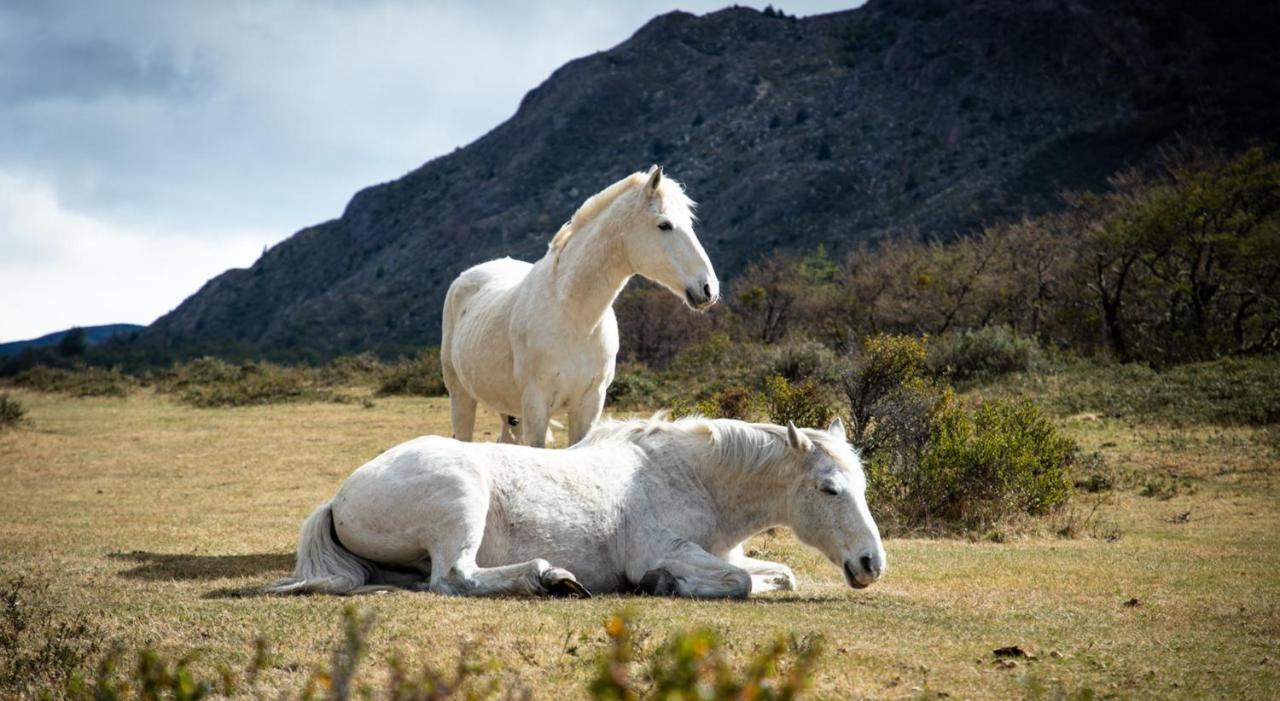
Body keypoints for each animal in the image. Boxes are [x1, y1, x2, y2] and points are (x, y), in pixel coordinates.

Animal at [264, 414, 885, 598]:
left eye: (861, 486)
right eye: (830, 489)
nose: (871, 564)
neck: (691, 478)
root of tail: (337, 498)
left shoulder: (727, 551)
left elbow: (779, 574)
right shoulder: (665, 550)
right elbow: (737, 582)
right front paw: (665, 585)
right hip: (460, 501)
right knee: (455, 577)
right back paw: (550, 578)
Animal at [442, 167, 721, 445]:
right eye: (664, 225)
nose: (709, 288)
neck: (572, 315)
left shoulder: (589, 405)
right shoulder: (536, 405)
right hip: (462, 399)